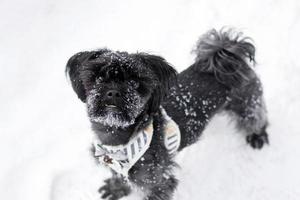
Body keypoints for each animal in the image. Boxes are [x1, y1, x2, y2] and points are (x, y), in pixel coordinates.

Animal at [65, 28, 270, 200]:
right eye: (98, 77)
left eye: (135, 82)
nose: (114, 92)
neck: (117, 139)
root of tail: (226, 53)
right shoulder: (115, 165)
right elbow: (119, 176)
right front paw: (116, 189)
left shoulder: (158, 182)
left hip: (246, 102)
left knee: (256, 117)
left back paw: (257, 136)